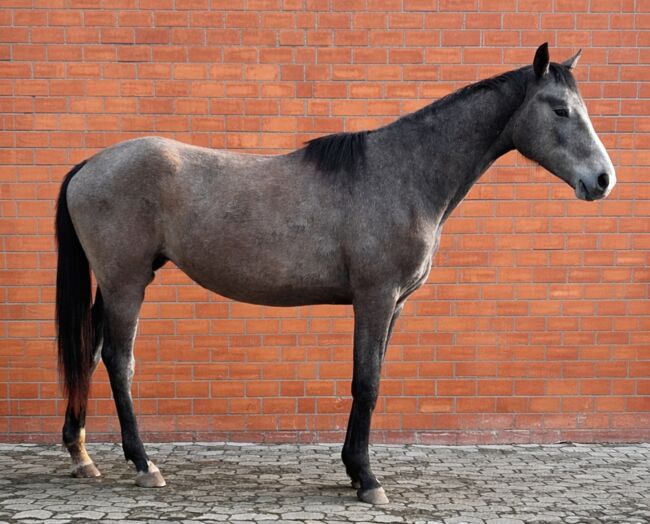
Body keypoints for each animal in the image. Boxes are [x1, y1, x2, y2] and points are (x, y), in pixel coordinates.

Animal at [55, 43, 615, 504]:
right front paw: (367, 479)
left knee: (89, 353)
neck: (402, 174)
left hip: (113, 285)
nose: (603, 180)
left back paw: (82, 456)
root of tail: (89, 165)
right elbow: (366, 383)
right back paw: (143, 464)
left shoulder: (394, 306)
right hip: (127, 283)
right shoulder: (375, 297)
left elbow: (372, 378)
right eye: (560, 109)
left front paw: (352, 469)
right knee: (119, 361)